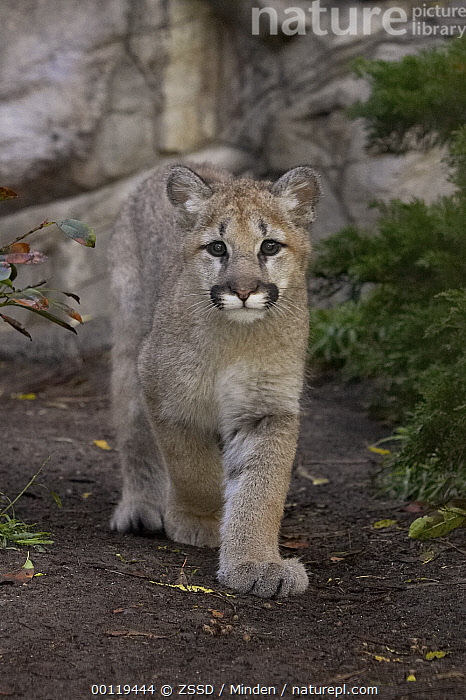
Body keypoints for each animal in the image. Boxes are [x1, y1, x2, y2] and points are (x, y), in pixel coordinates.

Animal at [110, 163, 320, 596]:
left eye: (269, 247)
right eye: (218, 248)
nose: (243, 290)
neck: (235, 339)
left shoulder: (268, 408)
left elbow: (261, 488)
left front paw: (256, 563)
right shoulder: (165, 396)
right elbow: (193, 469)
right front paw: (200, 521)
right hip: (129, 347)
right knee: (134, 433)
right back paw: (141, 508)